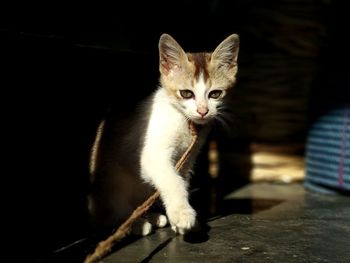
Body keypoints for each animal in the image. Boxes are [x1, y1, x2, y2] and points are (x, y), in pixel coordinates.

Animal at [89, 33, 239, 237]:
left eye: (215, 94)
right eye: (186, 93)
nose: (203, 111)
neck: (184, 121)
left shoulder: (187, 159)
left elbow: (181, 180)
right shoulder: (152, 156)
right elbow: (172, 181)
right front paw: (182, 214)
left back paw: (150, 216)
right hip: (113, 182)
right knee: (110, 216)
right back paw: (135, 224)